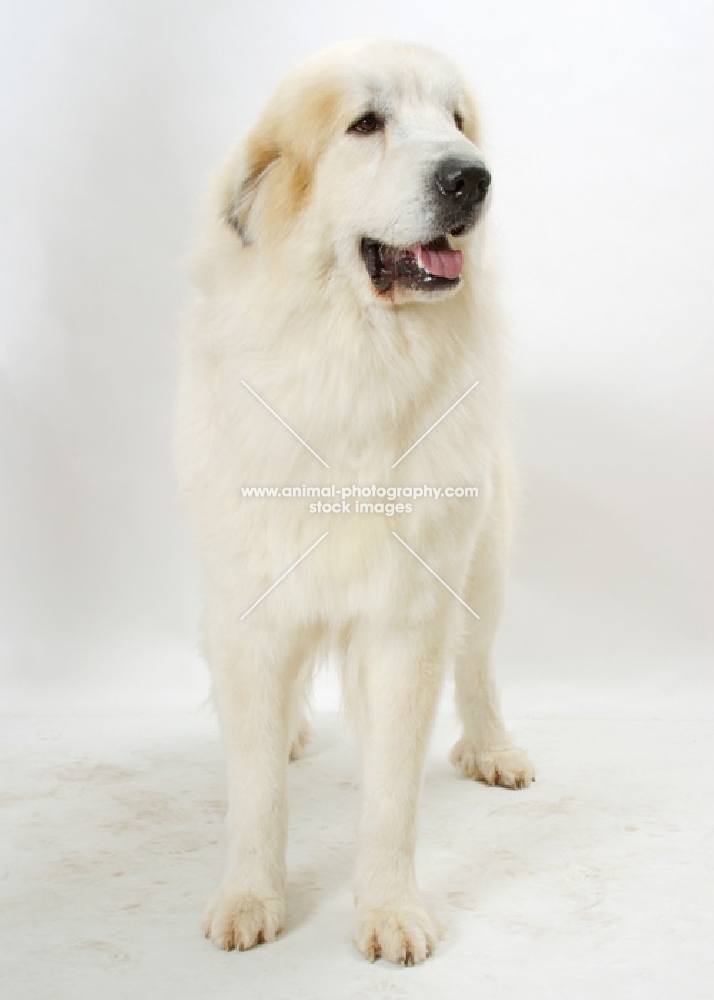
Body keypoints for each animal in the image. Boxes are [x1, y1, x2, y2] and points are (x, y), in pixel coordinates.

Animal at [175, 41, 532, 968]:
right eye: (366, 124)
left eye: (456, 120)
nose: (471, 179)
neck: (357, 360)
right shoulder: (251, 609)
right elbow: (257, 789)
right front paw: (250, 897)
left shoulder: (408, 618)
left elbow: (392, 795)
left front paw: (391, 909)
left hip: (483, 568)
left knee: (477, 663)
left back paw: (492, 747)